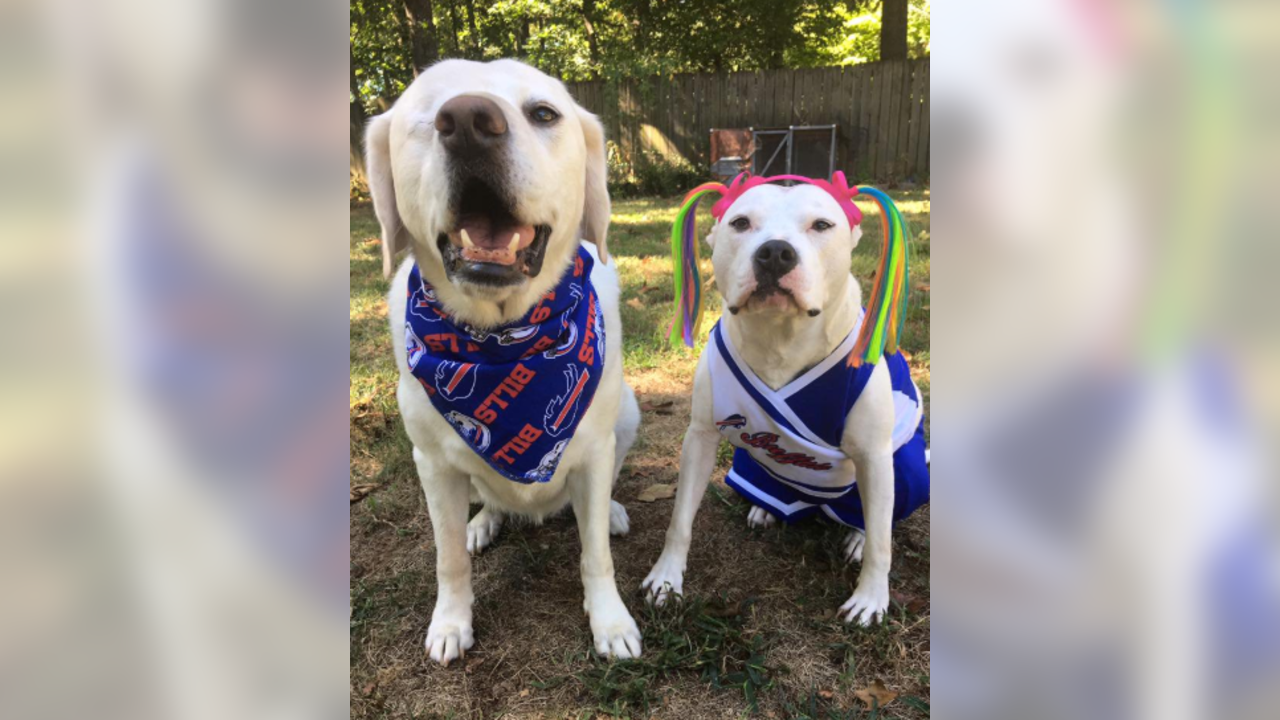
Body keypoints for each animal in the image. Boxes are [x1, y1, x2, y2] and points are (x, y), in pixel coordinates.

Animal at [368, 60, 650, 661]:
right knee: (484, 506)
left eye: (543, 113)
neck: (503, 338)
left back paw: (612, 512)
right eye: (428, 116)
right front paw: (451, 622)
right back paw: (484, 522)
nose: (468, 123)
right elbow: (447, 558)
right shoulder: (432, 463)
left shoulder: (593, 450)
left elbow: (596, 554)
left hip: (628, 415)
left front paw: (610, 622)